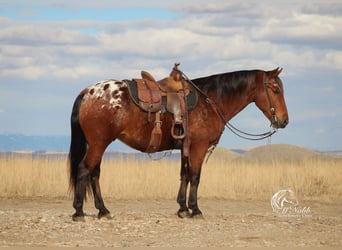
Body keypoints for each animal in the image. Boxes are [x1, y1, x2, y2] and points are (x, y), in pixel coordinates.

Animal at [69, 65, 288, 221]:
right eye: (275, 89)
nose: (284, 120)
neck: (210, 102)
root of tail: (88, 92)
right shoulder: (198, 147)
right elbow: (195, 177)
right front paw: (195, 209)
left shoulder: (186, 147)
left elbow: (184, 175)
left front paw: (182, 208)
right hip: (98, 144)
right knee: (84, 169)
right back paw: (79, 211)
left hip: (98, 144)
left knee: (94, 174)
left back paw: (103, 210)